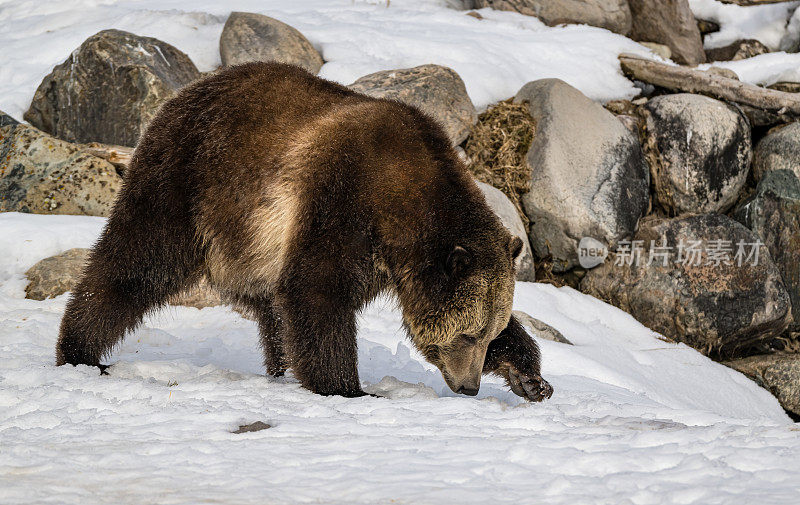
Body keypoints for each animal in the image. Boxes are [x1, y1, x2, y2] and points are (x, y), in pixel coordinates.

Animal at [56, 62, 552, 402]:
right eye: (468, 334)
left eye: (487, 333)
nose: (469, 386)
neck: (402, 205)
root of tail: (183, 92)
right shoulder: (341, 198)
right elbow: (316, 292)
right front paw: (351, 388)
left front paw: (531, 378)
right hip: (189, 182)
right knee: (134, 263)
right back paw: (79, 350)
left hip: (246, 239)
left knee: (268, 308)